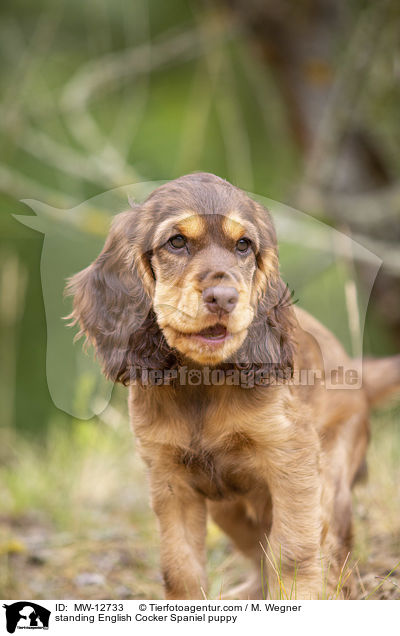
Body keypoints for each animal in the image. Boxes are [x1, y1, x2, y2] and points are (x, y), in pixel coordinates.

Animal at [66, 171, 400, 600]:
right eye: (177, 241)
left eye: (244, 245)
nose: (224, 297)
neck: (203, 382)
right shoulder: (169, 478)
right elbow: (180, 567)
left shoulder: (294, 463)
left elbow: (293, 551)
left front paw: (299, 599)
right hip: (228, 507)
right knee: (258, 553)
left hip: (333, 471)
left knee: (334, 549)